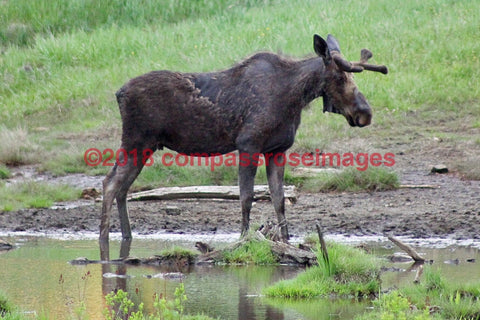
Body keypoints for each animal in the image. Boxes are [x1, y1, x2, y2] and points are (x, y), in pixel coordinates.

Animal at [99, 34, 388, 245]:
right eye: (339, 76)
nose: (365, 113)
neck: (295, 98)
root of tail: (118, 93)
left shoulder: (277, 149)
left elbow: (279, 199)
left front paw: (286, 240)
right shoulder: (248, 145)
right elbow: (246, 197)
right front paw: (243, 238)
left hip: (145, 146)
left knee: (122, 187)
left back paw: (126, 235)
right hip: (135, 141)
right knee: (110, 183)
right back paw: (104, 238)